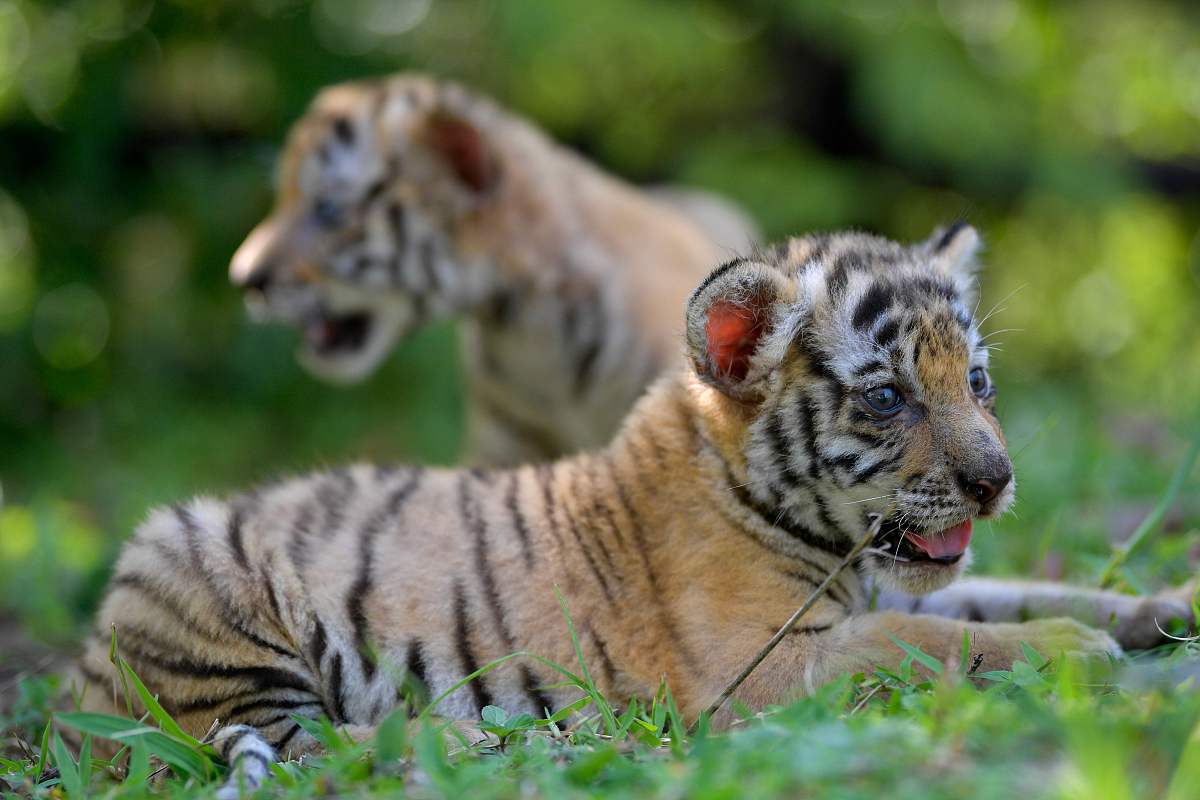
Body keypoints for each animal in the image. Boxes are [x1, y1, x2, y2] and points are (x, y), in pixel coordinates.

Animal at [78, 224, 1194, 797]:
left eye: (978, 381)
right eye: (887, 398)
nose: (996, 482)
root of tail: (82, 669)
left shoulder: (888, 587)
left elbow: (1006, 593)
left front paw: (1159, 607)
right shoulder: (764, 663)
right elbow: (930, 638)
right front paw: (1074, 652)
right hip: (206, 587)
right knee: (320, 744)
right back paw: (502, 744)